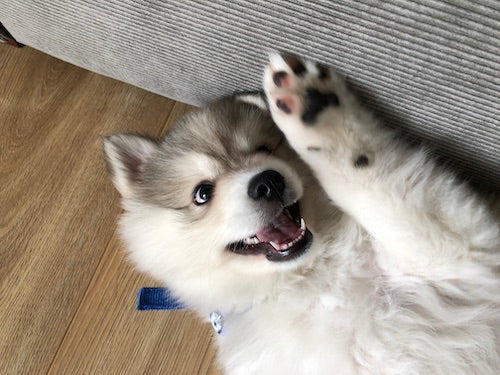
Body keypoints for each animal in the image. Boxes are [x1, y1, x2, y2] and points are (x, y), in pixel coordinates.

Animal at [102, 53, 500, 375]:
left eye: (266, 149)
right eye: (202, 193)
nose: (267, 182)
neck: (310, 278)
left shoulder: (462, 255)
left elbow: (370, 183)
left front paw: (319, 114)